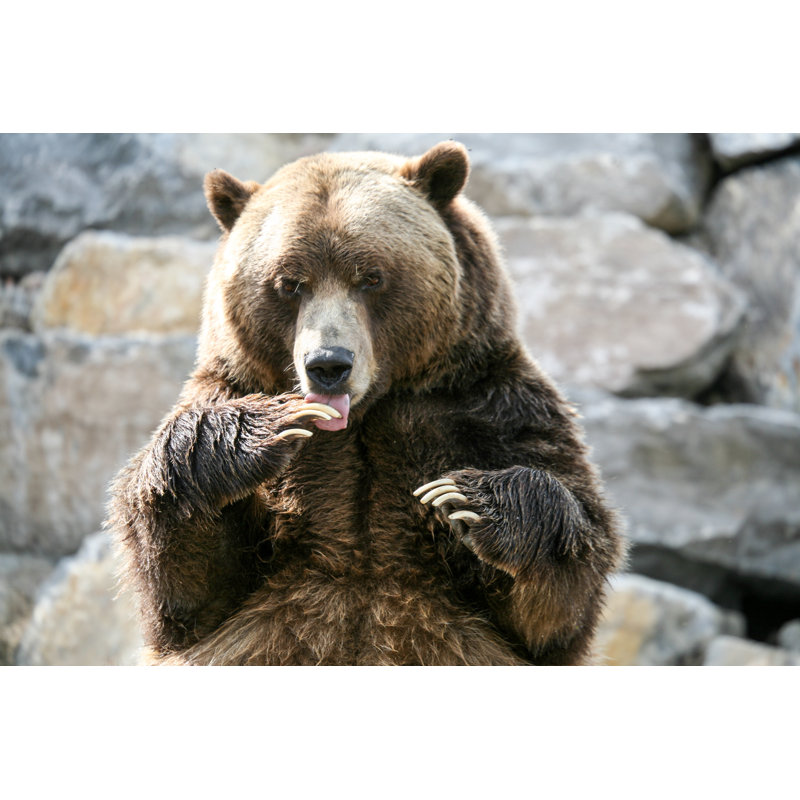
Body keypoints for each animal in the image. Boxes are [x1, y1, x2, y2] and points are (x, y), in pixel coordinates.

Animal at [108, 141, 625, 665]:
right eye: (289, 282)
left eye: (371, 277)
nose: (328, 363)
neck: (361, 418)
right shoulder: (230, 391)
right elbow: (188, 587)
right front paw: (267, 428)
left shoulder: (487, 408)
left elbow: (560, 599)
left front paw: (467, 498)